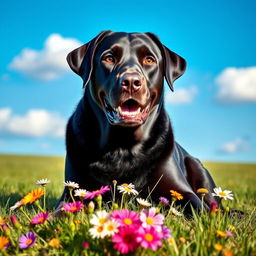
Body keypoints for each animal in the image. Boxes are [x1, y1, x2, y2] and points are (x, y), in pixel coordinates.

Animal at [58, 31, 220, 211]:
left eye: (149, 60)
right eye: (109, 58)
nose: (131, 82)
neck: (122, 147)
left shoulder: (184, 192)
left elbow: (200, 209)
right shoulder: (72, 192)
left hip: (198, 169)